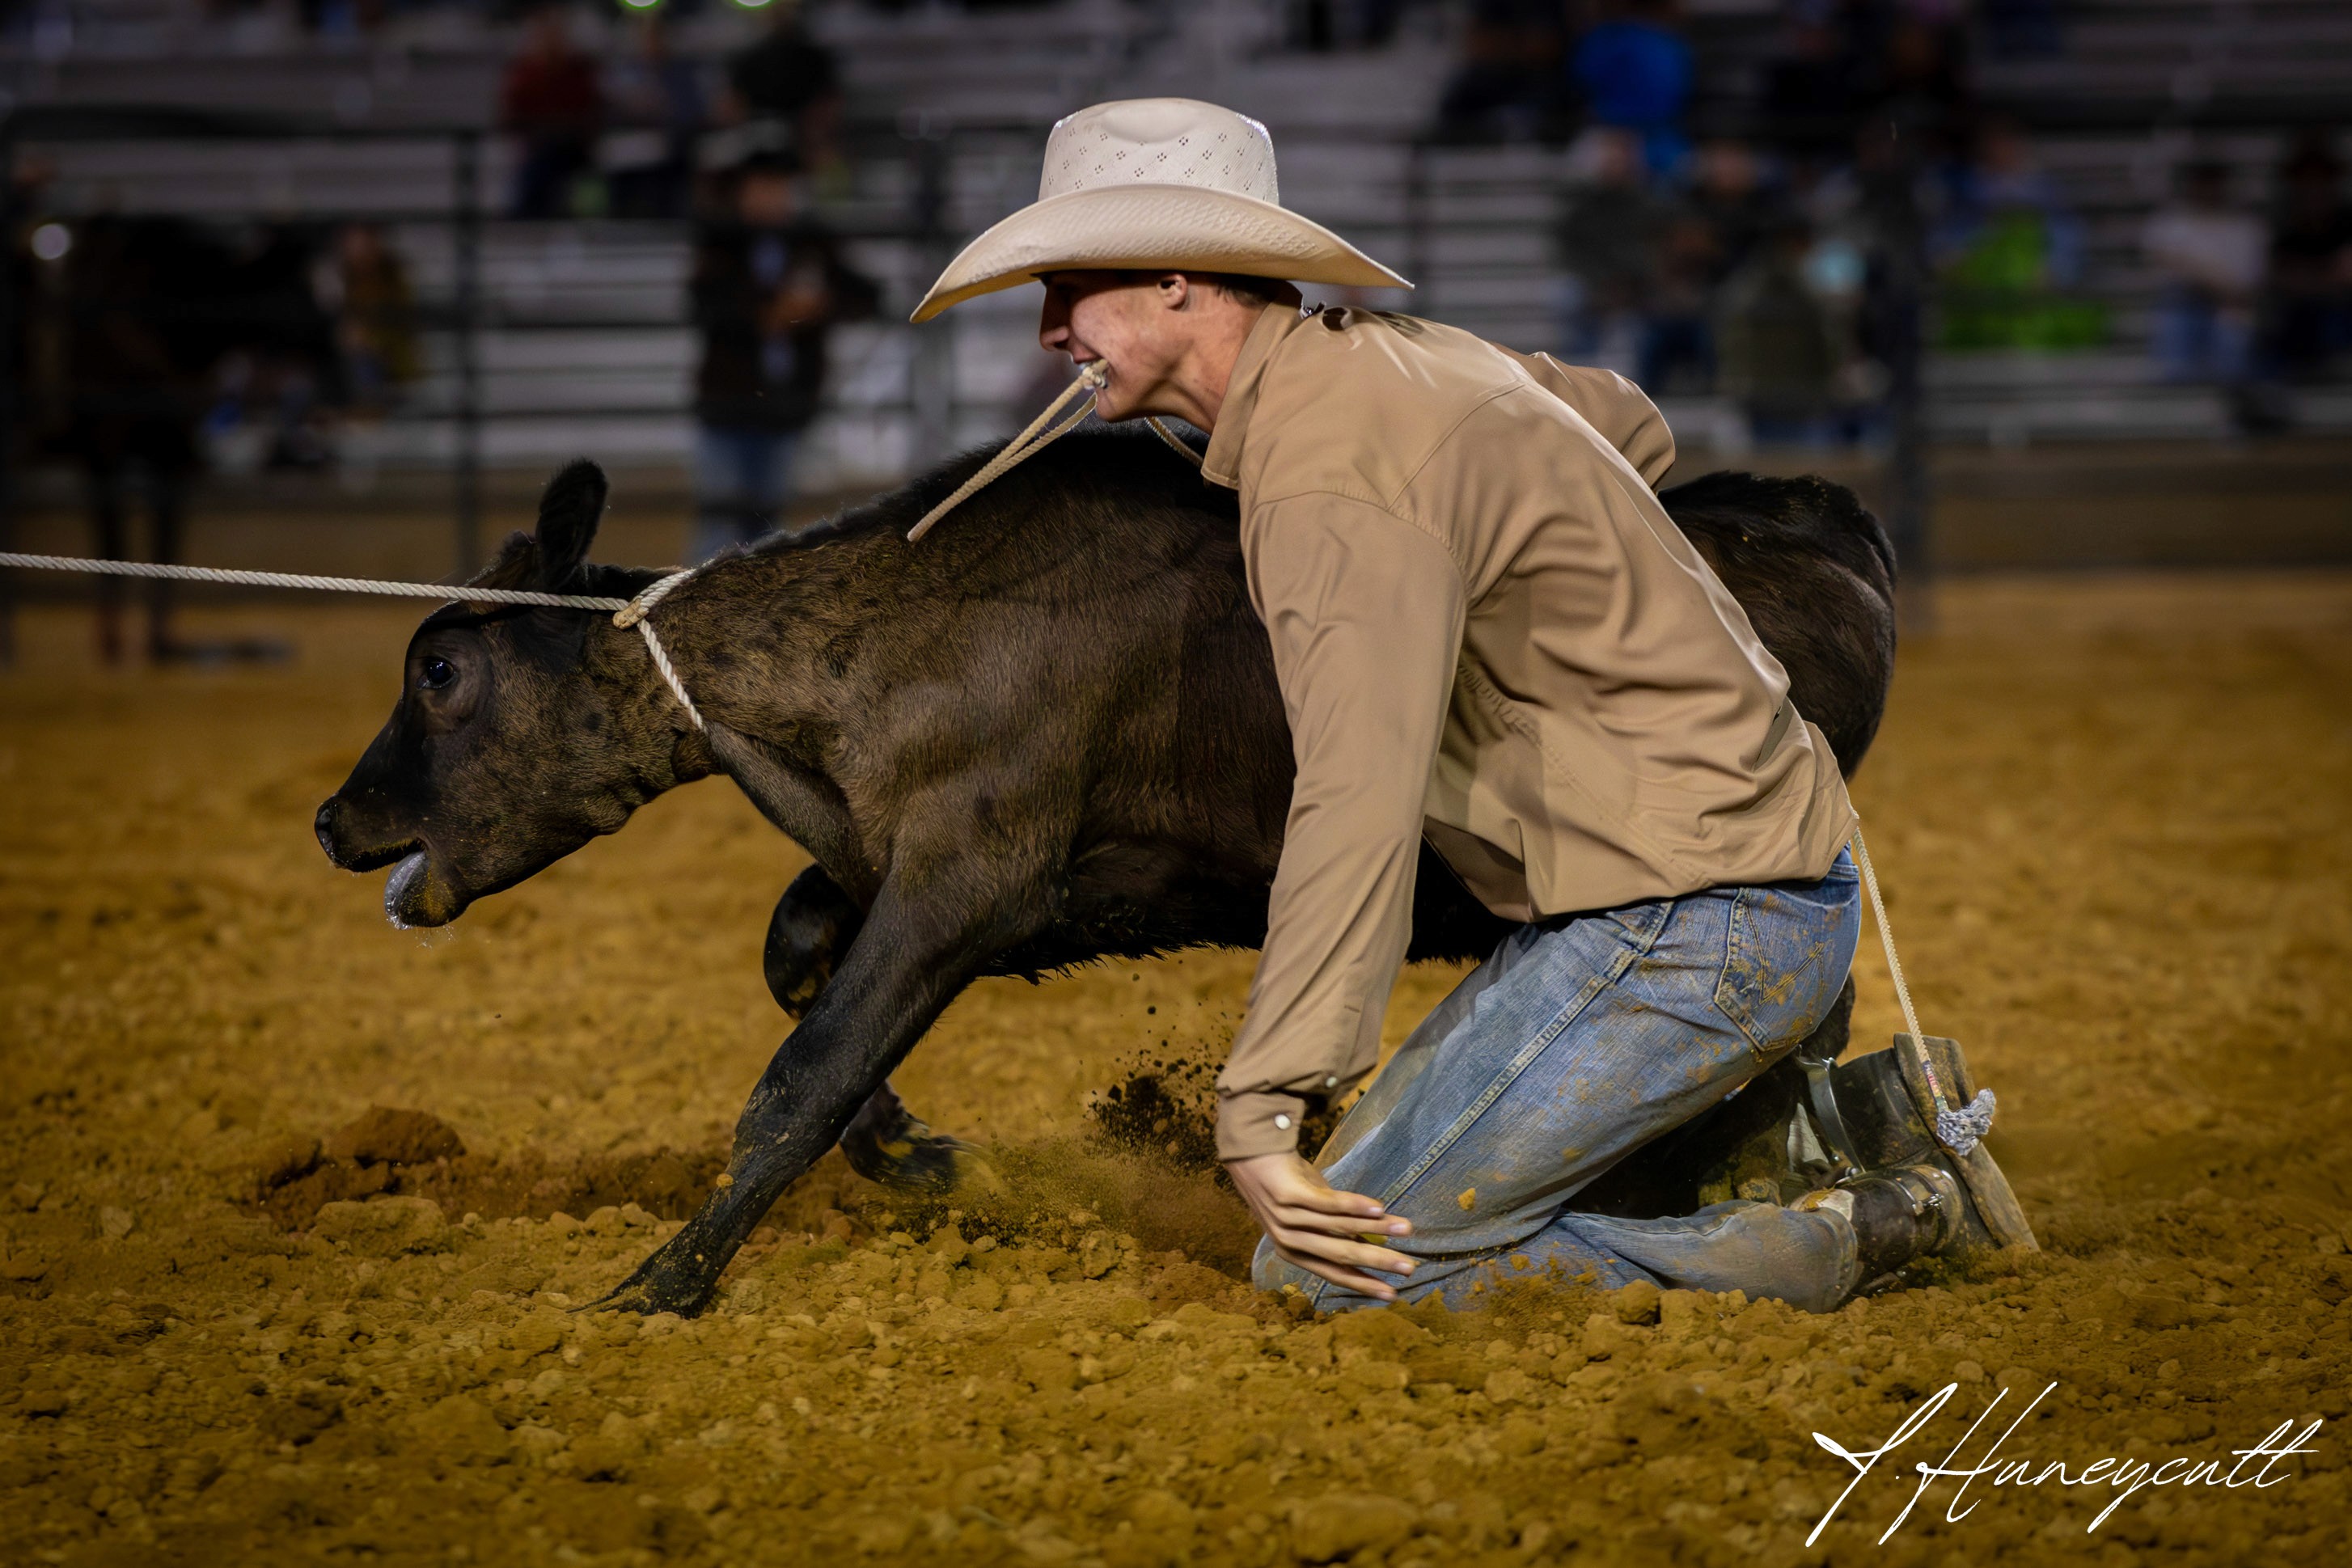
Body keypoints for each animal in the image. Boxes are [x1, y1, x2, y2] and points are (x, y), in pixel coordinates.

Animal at [314, 430, 1896, 1315]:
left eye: (440, 669)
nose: (334, 817)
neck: (889, 629)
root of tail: (1825, 521)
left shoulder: (971, 880)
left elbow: (800, 1076)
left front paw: (655, 1284)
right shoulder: (901, 871)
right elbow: (801, 970)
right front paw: (925, 1152)